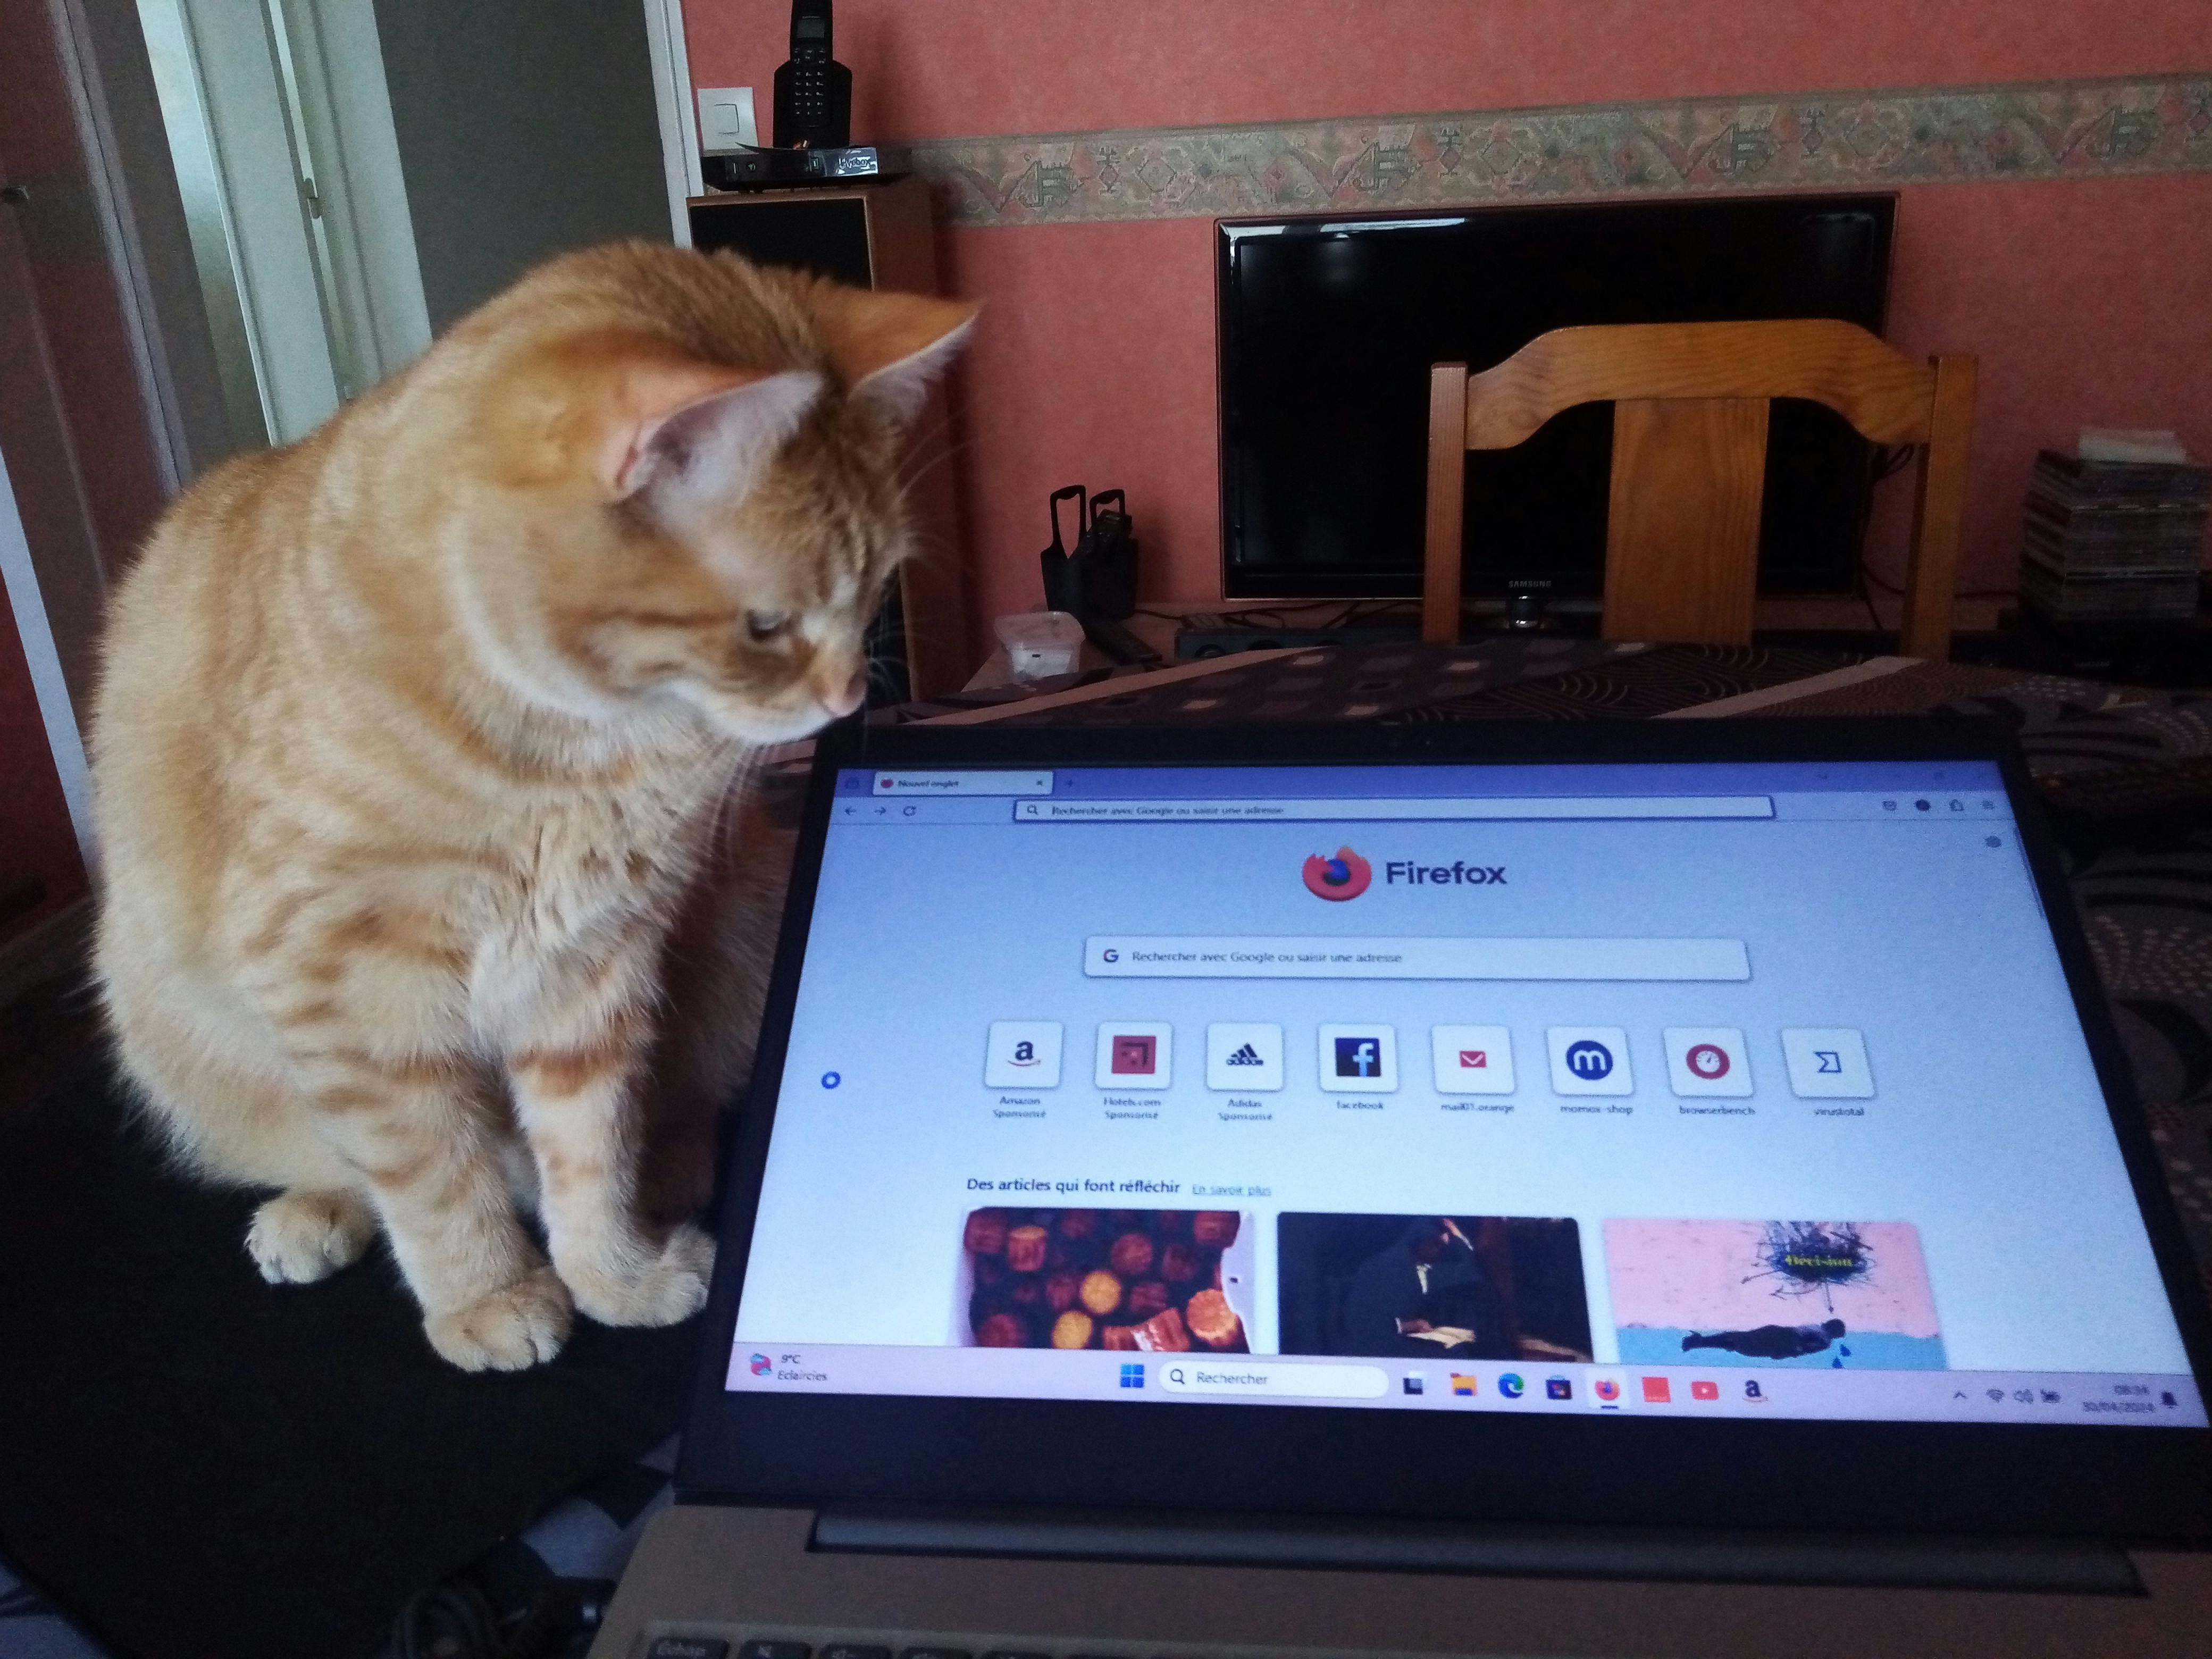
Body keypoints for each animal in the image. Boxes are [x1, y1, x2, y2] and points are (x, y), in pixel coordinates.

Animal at [90, 242, 974, 1370]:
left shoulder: (591, 963)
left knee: (683, 1101)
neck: (573, 759)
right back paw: (314, 1212)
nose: (851, 697)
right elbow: (427, 1169)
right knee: (329, 1156)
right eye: (767, 627)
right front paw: (489, 1293)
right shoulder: (347, 981)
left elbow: (591, 1144)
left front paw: (616, 1275)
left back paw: (671, 1177)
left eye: (874, 599)